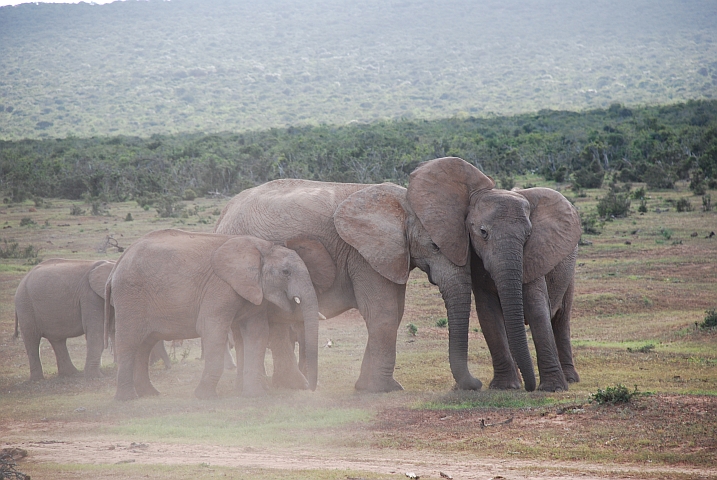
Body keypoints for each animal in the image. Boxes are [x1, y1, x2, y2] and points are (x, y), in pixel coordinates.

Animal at [105, 228, 318, 398]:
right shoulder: (220, 287)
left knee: (145, 344)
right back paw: (128, 398)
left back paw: (150, 394)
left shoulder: (253, 291)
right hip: (129, 295)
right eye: (285, 272)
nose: (311, 388)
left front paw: (255, 395)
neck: (263, 247)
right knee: (129, 342)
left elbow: (256, 333)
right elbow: (212, 329)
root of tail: (117, 264)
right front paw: (204, 397)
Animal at [214, 180, 482, 394]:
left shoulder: (390, 255)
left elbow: (395, 312)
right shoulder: (362, 254)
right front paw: (383, 389)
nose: (476, 384)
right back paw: (294, 385)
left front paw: (366, 386)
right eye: (435, 246)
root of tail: (223, 215)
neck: (401, 203)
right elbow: (383, 312)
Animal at [408, 158, 580, 394]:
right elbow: (488, 314)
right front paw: (505, 387)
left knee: (561, 319)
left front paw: (552, 389)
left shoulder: (533, 256)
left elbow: (537, 309)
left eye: (528, 236)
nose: (529, 387)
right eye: (483, 232)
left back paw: (570, 380)